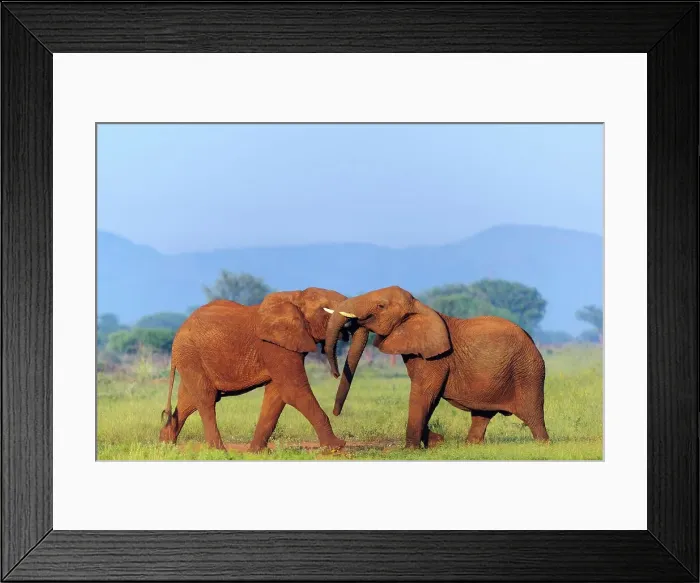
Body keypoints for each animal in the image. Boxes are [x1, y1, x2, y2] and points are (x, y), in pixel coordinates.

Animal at [159, 288, 369, 451]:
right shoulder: (273, 346)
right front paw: (337, 446)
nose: (335, 373)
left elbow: (277, 396)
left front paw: (256, 452)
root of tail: (177, 333)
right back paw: (219, 451)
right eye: (325, 309)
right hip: (190, 355)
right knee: (206, 399)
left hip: (192, 359)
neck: (295, 296)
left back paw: (165, 445)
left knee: (189, 401)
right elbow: (294, 391)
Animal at [325, 286, 549, 449]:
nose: (335, 374)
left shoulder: (437, 359)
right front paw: (435, 441)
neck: (418, 306)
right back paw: (470, 446)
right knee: (481, 414)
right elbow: (428, 398)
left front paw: (411, 449)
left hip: (528, 370)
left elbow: (425, 393)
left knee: (532, 414)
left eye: (381, 306)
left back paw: (543, 444)